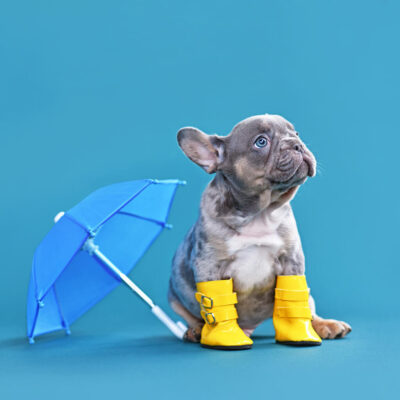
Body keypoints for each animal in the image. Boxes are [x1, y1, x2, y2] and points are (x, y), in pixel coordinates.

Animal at [167, 114, 352, 342]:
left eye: (296, 133)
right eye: (261, 142)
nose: (297, 144)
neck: (260, 215)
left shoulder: (292, 261)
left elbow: (295, 301)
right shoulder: (209, 265)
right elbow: (214, 303)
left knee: (307, 306)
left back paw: (324, 325)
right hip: (175, 299)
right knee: (195, 317)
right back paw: (196, 330)